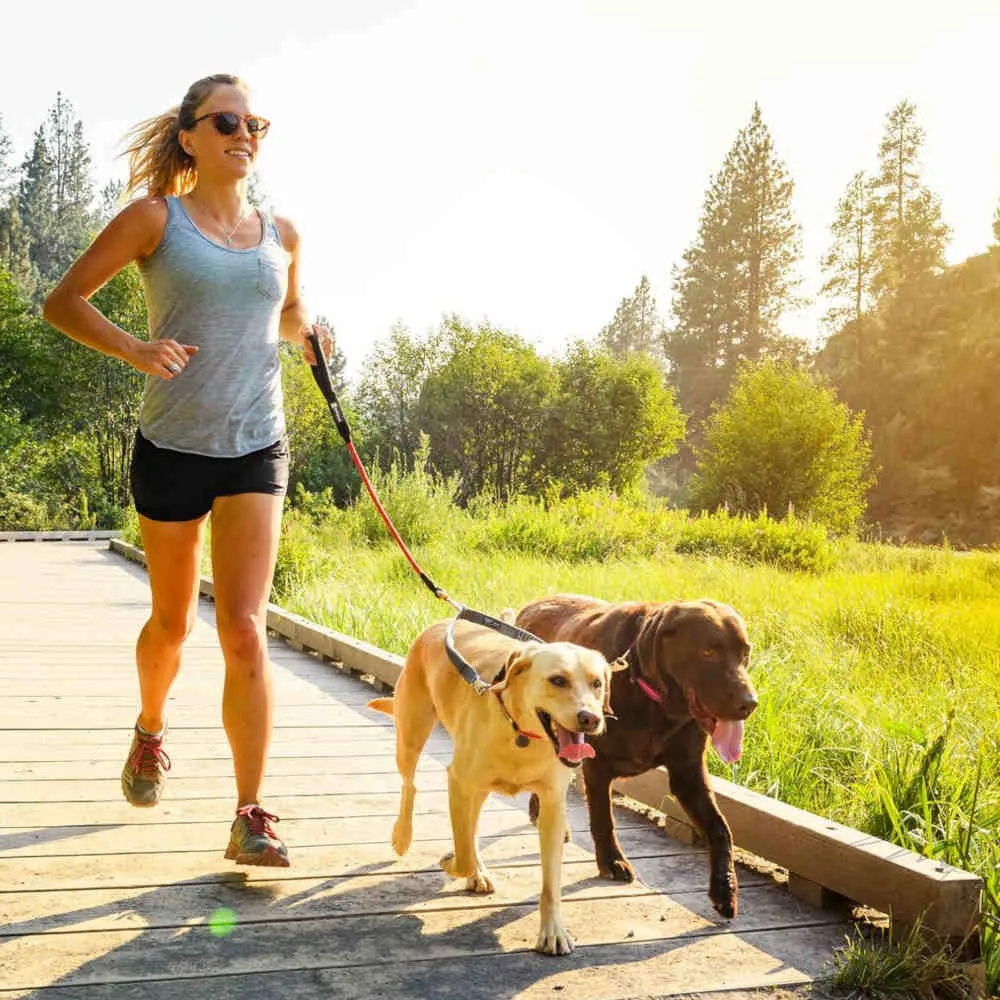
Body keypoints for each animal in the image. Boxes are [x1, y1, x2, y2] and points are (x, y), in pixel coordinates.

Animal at [368, 616, 624, 952]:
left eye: (597, 684)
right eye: (557, 680)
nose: (590, 718)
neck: (521, 732)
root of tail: (441, 623)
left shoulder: (552, 805)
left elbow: (551, 882)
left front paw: (553, 930)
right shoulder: (459, 782)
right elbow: (462, 855)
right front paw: (453, 863)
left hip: (477, 787)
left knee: (469, 825)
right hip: (411, 736)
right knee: (410, 786)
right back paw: (403, 836)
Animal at [516, 592, 756, 920]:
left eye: (745, 652)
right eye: (708, 651)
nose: (750, 703)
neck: (653, 700)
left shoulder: (689, 773)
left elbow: (721, 829)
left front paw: (724, 887)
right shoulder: (598, 766)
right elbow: (603, 819)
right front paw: (611, 861)